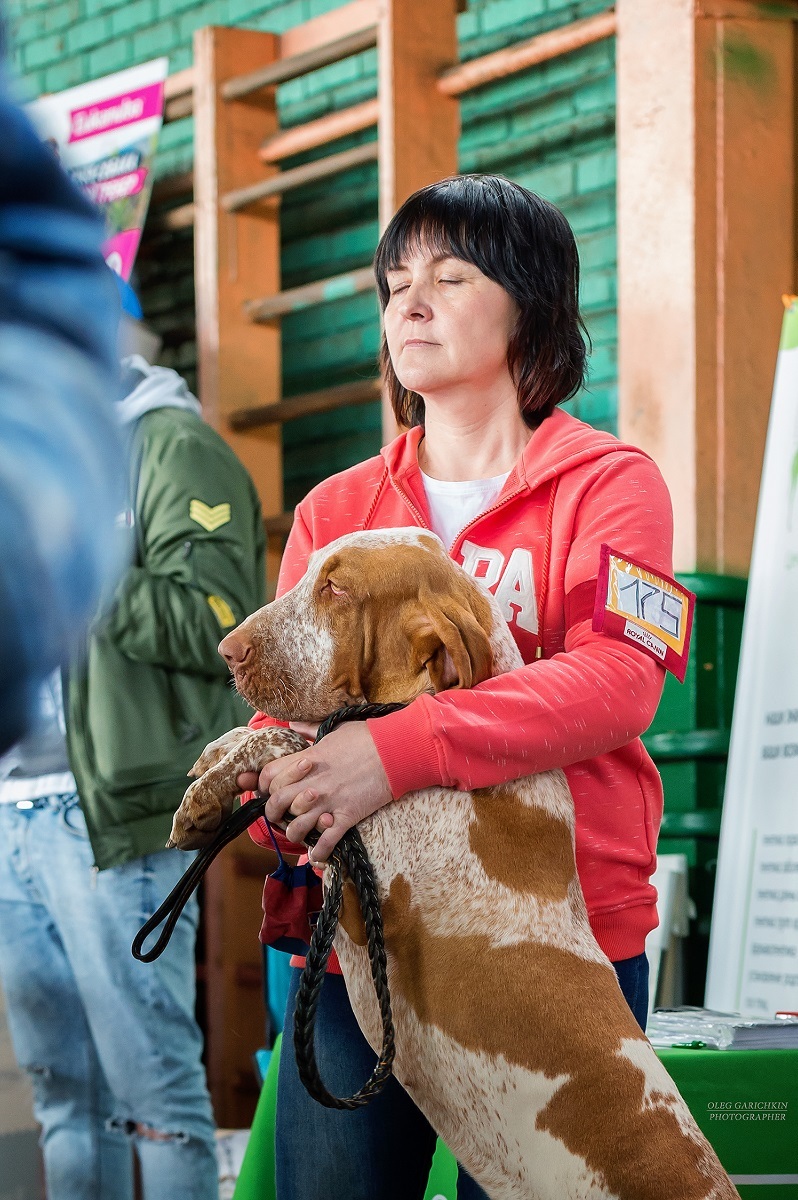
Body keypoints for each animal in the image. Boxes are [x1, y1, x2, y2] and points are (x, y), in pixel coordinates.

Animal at [171, 530, 739, 1195]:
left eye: (335, 587)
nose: (226, 651)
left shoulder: (358, 880)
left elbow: (297, 744)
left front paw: (219, 779)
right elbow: (284, 736)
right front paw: (212, 773)